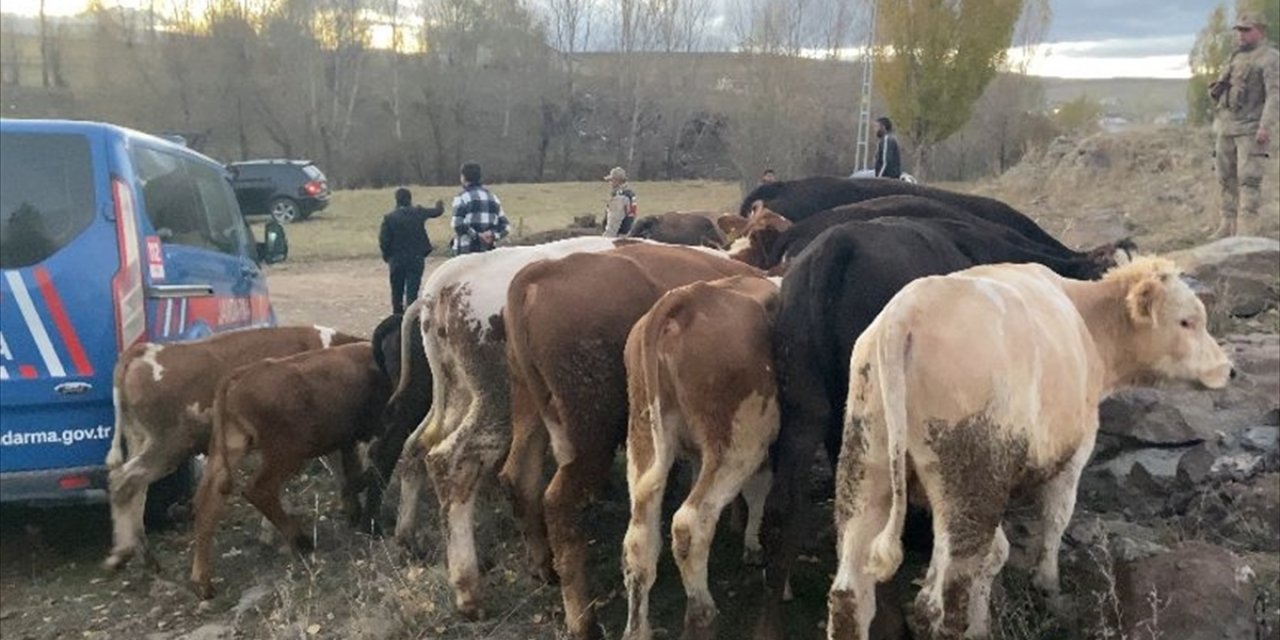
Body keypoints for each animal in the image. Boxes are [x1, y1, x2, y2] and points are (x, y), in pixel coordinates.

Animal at [101, 325, 363, 570]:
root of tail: (145, 351)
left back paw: (140, 554)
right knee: (125, 481)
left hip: (140, 440)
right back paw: (125, 552)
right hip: (168, 444)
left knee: (134, 488)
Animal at [186, 343, 389, 596]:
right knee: (259, 489)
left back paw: (202, 582)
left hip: (232, 449)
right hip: (288, 455)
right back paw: (301, 540)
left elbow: (349, 474)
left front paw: (355, 513)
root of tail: (239, 377)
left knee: (209, 499)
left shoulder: (348, 441)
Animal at [496, 241, 757, 637]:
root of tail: (540, 274)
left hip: (527, 406)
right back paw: (582, 620)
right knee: (558, 504)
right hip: (591, 436)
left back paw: (544, 568)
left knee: (519, 478)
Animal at [619, 275, 778, 640]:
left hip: (644, 437)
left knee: (638, 539)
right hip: (740, 440)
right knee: (689, 523)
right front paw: (753, 544)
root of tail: (688, 296)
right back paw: (702, 609)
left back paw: (637, 629)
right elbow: (760, 488)